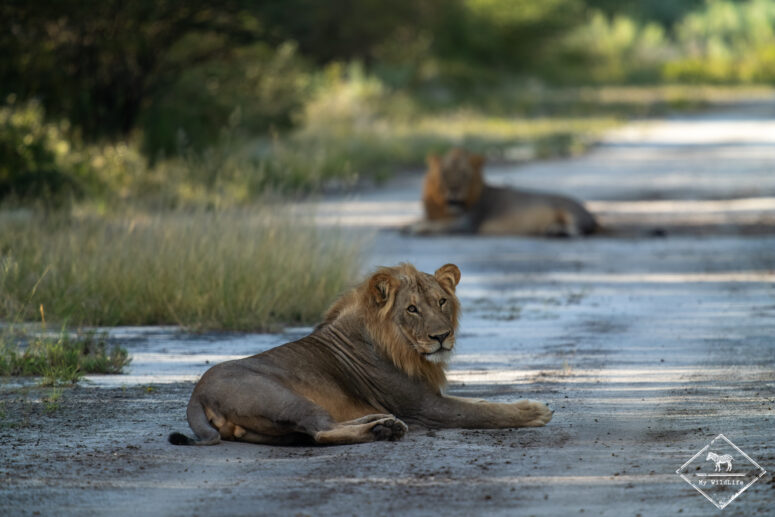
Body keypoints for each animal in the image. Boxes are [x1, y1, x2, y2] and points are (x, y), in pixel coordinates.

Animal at [169, 263, 552, 446]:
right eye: (412, 309)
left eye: (442, 301)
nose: (442, 337)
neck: (403, 347)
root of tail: (197, 393)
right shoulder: (426, 407)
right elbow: (483, 411)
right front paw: (534, 412)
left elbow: (481, 401)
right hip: (285, 398)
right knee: (320, 431)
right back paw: (385, 429)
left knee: (317, 430)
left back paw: (383, 423)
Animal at [409, 148, 597, 236]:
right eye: (444, 173)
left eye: (464, 174)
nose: (453, 188)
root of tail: (590, 213)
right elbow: (426, 220)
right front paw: (409, 225)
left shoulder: (467, 224)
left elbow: (438, 226)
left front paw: (418, 228)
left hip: (569, 210)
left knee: (579, 230)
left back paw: (557, 230)